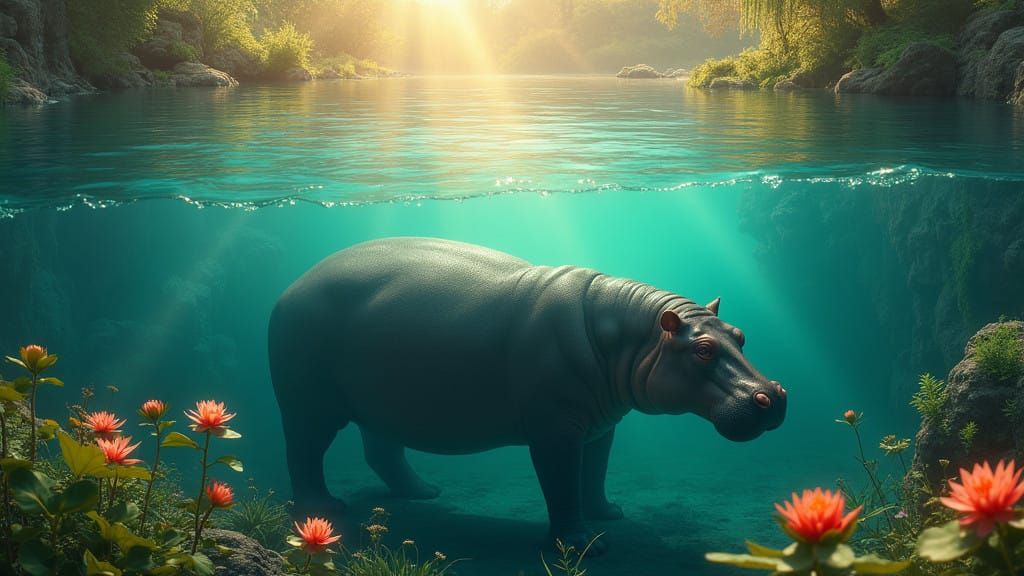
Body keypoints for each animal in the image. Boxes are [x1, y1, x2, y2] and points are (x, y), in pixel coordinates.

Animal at [269, 237, 786, 553]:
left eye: (739, 335)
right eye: (702, 349)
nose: (773, 395)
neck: (632, 334)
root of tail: (290, 288)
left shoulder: (601, 426)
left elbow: (593, 475)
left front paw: (610, 514)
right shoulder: (555, 431)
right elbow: (561, 484)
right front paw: (582, 544)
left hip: (382, 403)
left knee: (382, 451)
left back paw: (426, 493)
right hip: (309, 402)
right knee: (303, 451)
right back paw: (325, 508)